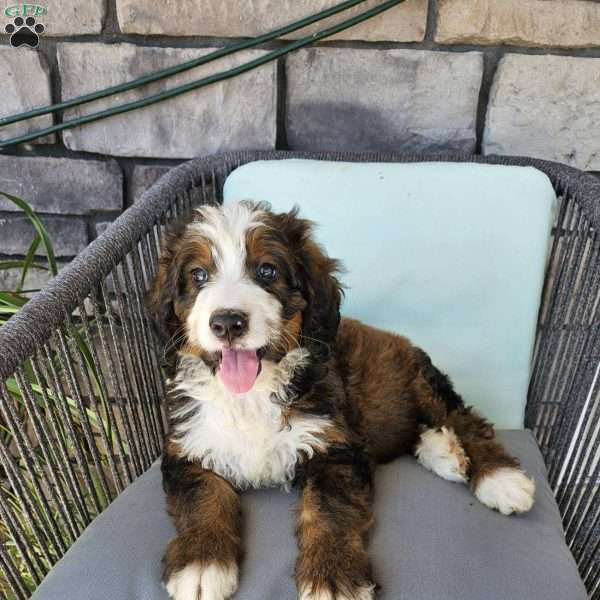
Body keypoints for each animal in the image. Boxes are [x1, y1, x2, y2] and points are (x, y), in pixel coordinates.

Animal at [145, 200, 536, 600]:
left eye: (267, 270)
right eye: (198, 275)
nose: (227, 322)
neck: (251, 394)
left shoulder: (335, 447)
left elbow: (328, 509)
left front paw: (333, 576)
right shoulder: (188, 445)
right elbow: (202, 496)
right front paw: (201, 562)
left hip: (424, 382)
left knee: (466, 420)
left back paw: (500, 478)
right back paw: (445, 453)